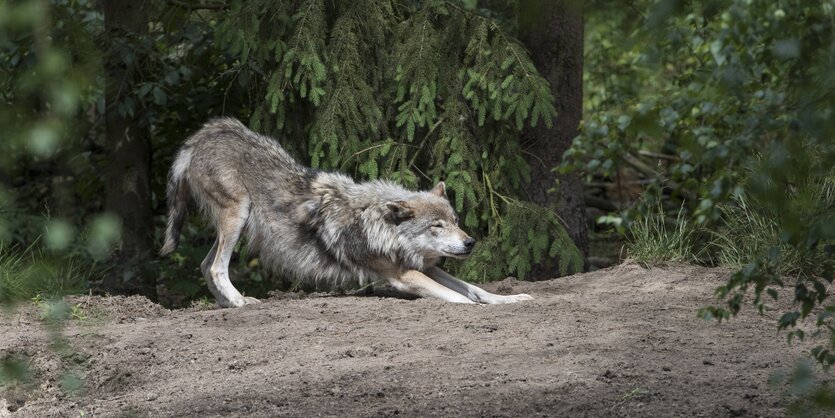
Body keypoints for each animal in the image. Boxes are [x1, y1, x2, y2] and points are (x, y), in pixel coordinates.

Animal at [158, 117, 536, 306]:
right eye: (437, 226)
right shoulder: (404, 275)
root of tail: (202, 136)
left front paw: (512, 299)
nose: (470, 243)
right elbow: (459, 297)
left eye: (456, 223)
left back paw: (225, 305)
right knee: (217, 266)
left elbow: (475, 289)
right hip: (239, 214)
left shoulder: (426, 266)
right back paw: (239, 302)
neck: (382, 226)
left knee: (204, 264)